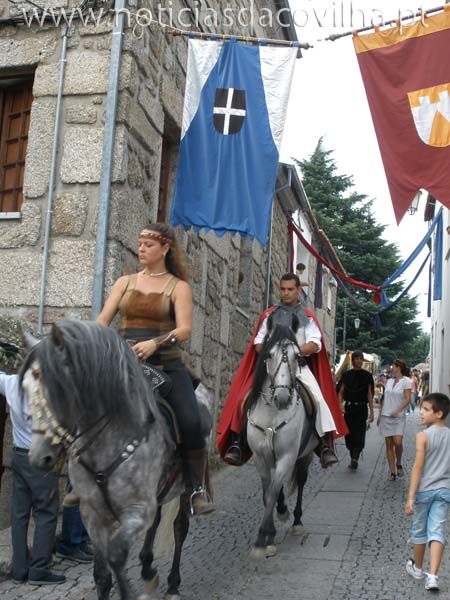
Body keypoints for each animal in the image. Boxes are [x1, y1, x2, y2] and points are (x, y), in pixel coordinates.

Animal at [22, 322, 214, 600]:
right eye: (25, 388)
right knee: (156, 522)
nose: (39, 457)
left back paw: (172, 584)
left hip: (184, 489)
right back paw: (147, 568)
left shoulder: (136, 511)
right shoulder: (92, 513)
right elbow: (102, 575)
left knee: (180, 527)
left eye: (60, 389)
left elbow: (116, 555)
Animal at [246, 326, 316, 560]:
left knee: (301, 481)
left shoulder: (287, 456)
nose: (283, 398)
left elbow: (273, 491)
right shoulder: (260, 457)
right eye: (268, 355)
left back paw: (296, 521)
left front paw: (263, 538)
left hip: (306, 455)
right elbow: (268, 491)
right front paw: (268, 535)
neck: (272, 413)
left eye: (298, 357)